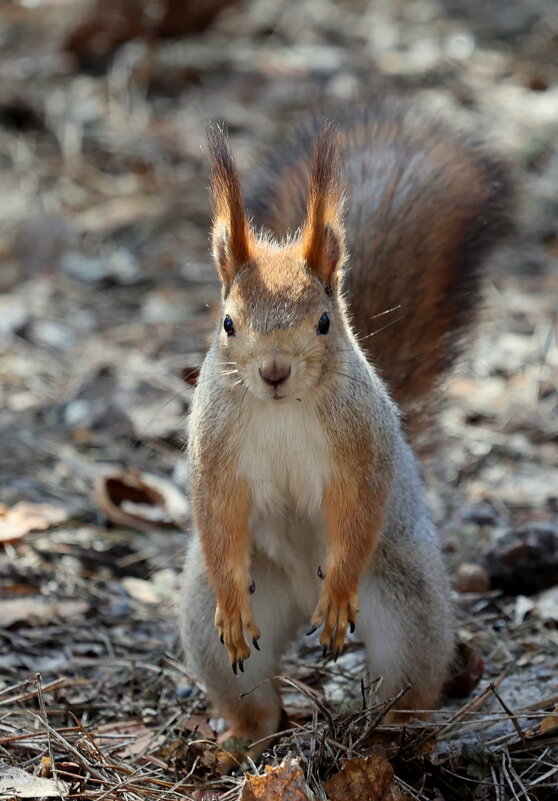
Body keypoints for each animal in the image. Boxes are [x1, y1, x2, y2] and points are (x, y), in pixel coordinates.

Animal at [180, 95, 516, 764]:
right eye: (228, 323)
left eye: (324, 322)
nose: (274, 372)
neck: (282, 408)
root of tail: (292, 605)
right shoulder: (215, 449)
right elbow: (218, 511)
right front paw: (232, 604)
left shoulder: (361, 447)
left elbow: (357, 507)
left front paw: (336, 594)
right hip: (218, 620)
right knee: (253, 695)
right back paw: (242, 738)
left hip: (406, 601)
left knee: (407, 681)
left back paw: (391, 733)